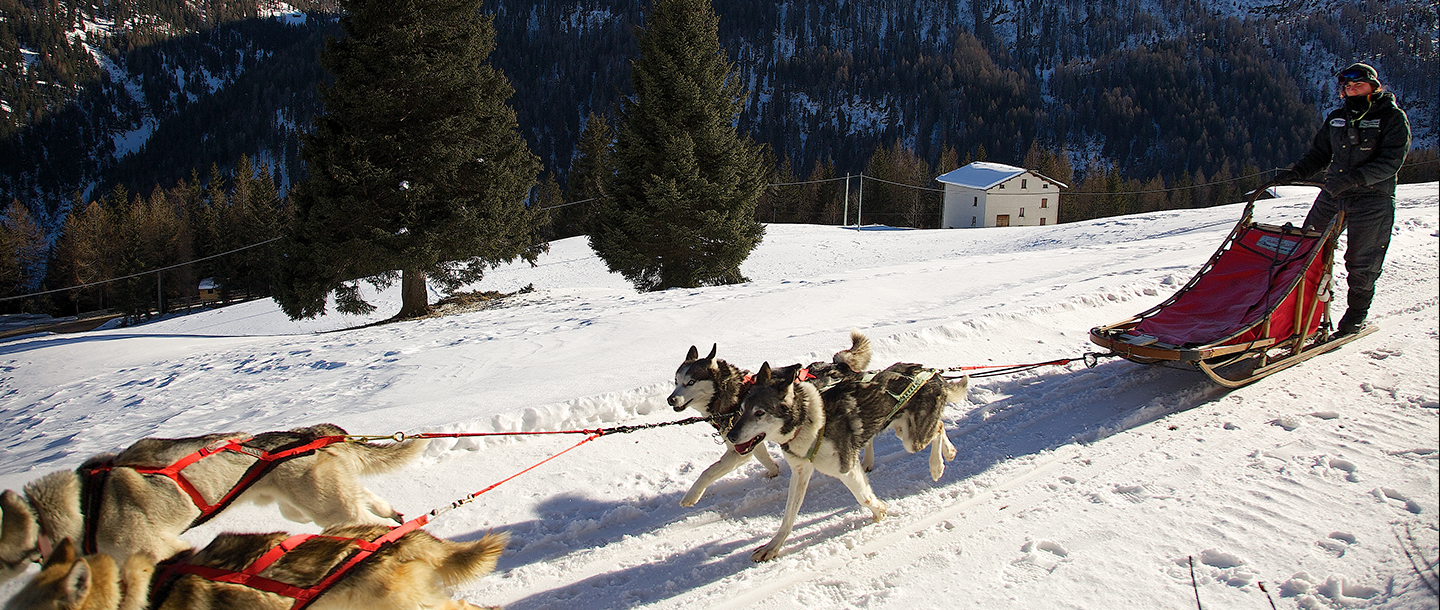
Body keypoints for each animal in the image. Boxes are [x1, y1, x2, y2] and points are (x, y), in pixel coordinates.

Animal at [0, 422, 423, 575]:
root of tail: (312, 433)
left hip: (326, 508)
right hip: (308, 509)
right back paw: (395, 514)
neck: (83, 506)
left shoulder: (159, 551)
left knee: (372, 523)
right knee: (369, 499)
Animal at [659, 330, 864, 506]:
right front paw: (773, 470)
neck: (735, 395)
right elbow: (762, 456)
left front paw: (691, 495)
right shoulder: (746, 441)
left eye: (691, 382)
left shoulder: (738, 450)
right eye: (676, 382)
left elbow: (709, 471)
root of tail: (840, 366)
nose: (670, 399)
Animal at [731, 359, 967, 561]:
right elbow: (788, 517)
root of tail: (933, 373)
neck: (808, 420)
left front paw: (880, 511)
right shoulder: (800, 472)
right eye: (742, 410)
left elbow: (864, 497)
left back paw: (937, 465)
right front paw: (773, 547)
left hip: (913, 440)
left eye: (759, 413)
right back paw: (949, 452)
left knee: (937, 428)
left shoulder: (846, 468)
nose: (732, 435)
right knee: (939, 426)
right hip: (903, 431)